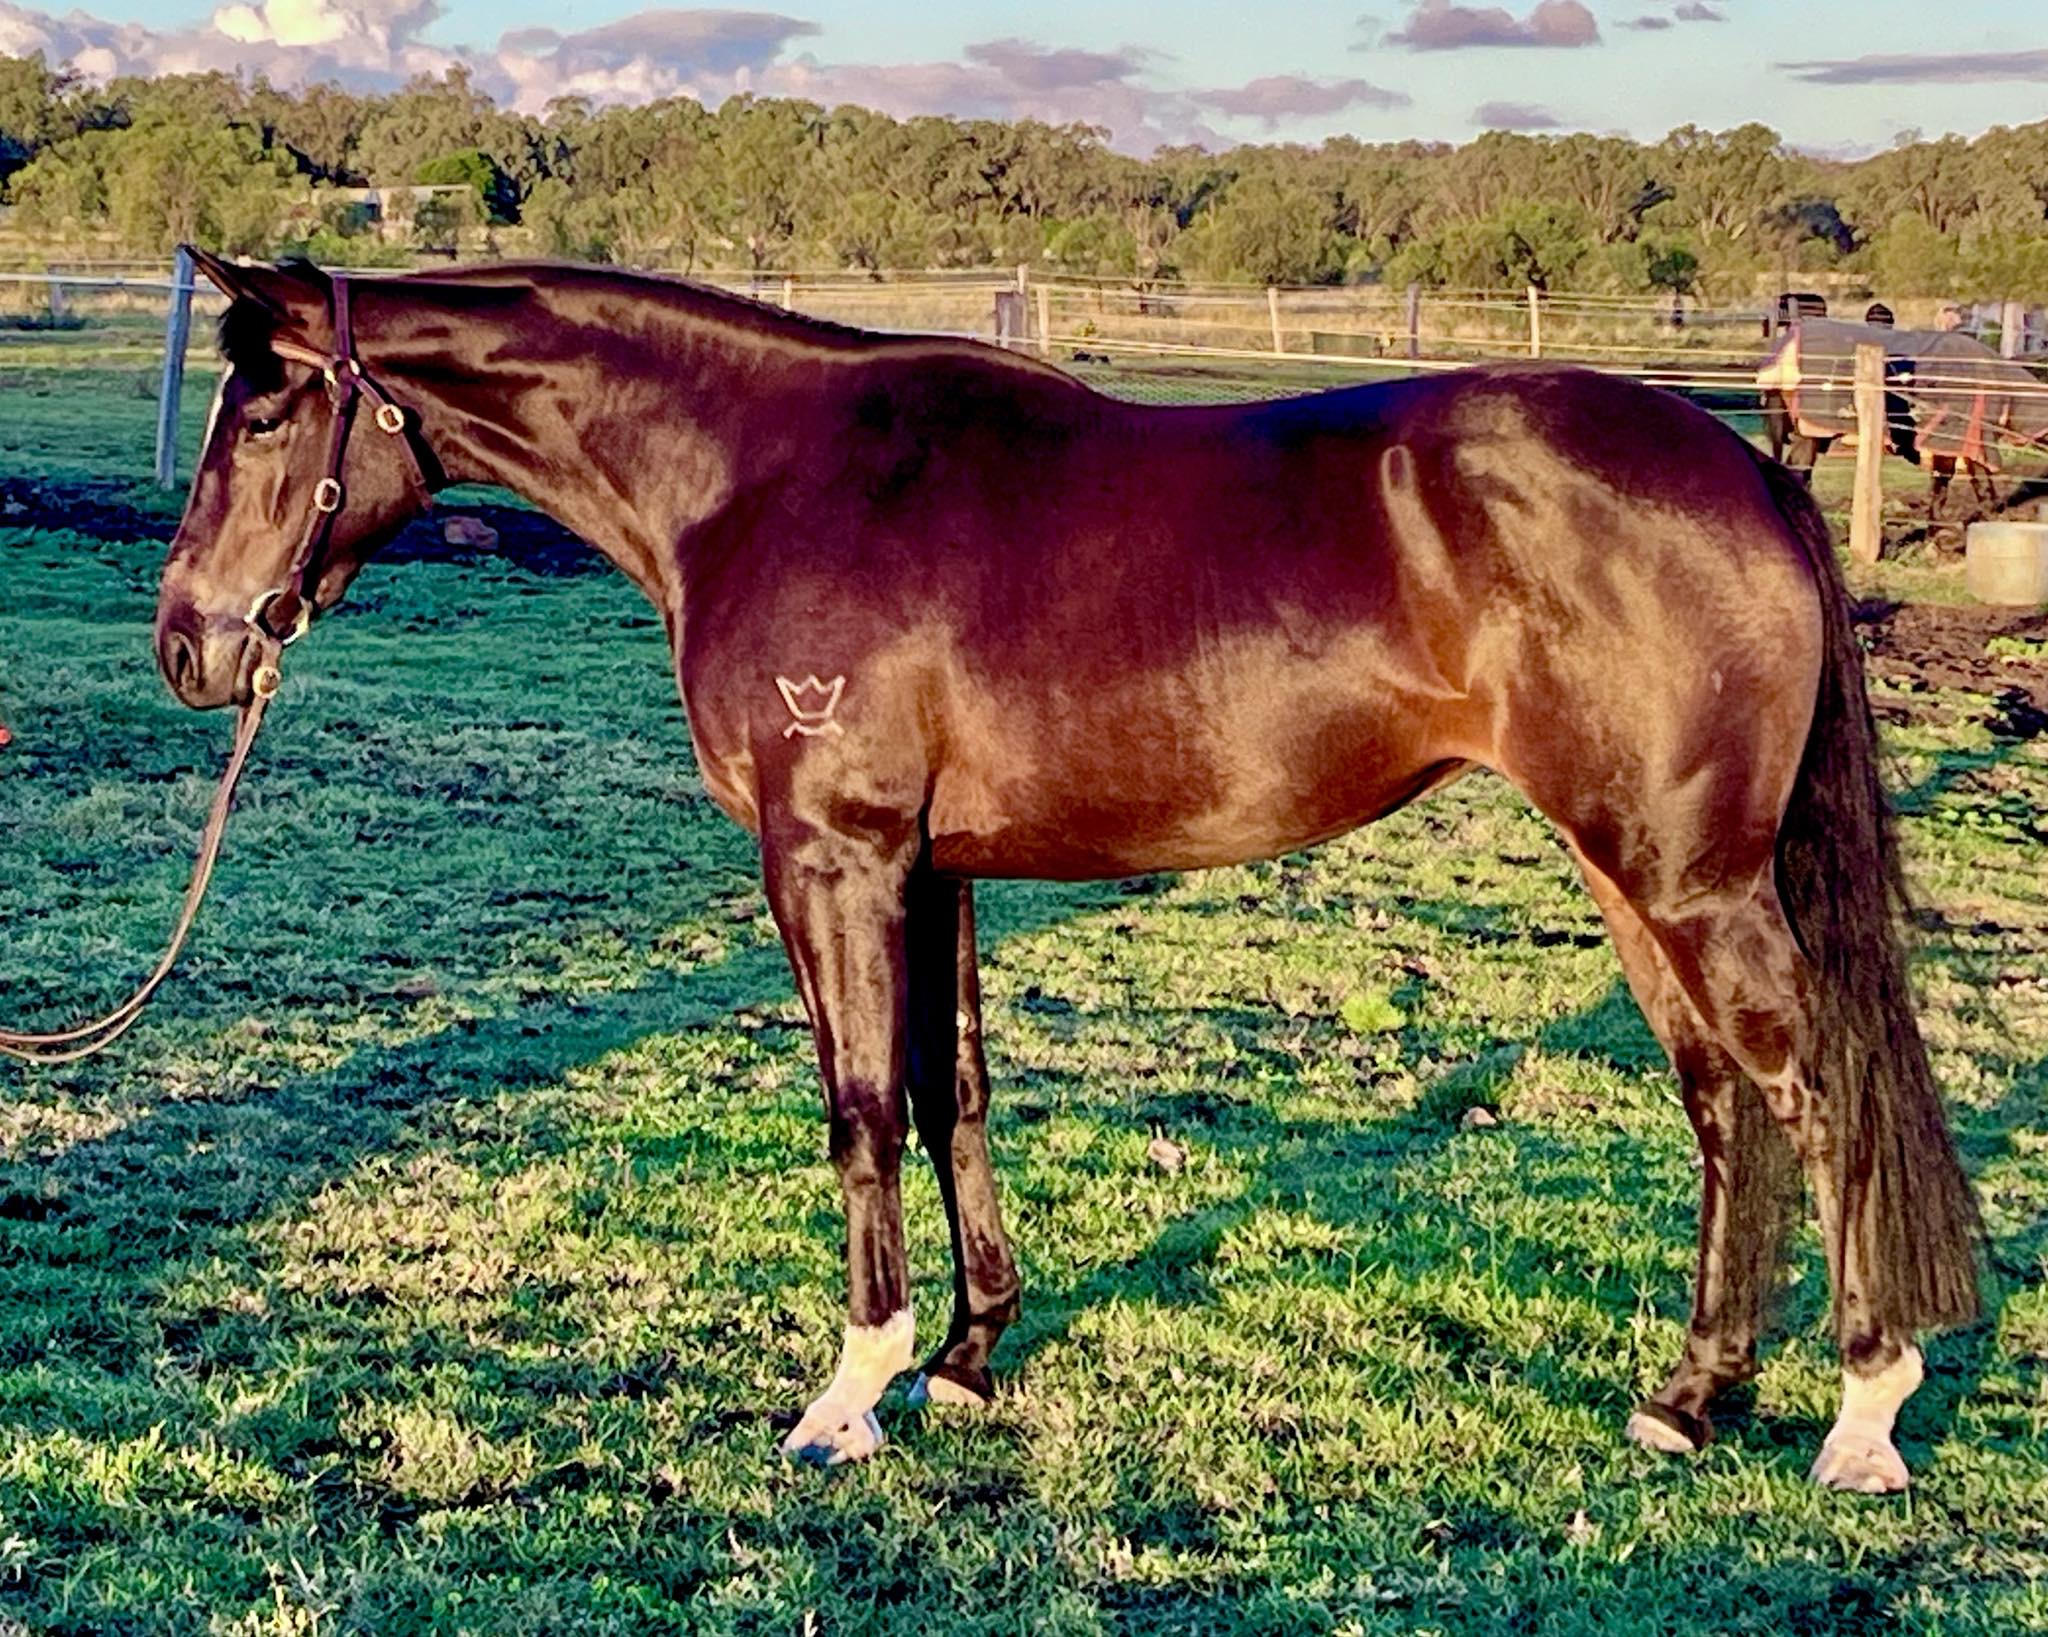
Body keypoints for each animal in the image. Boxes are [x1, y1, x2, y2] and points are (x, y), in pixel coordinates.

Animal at [152, 251, 1979, 1490]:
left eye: (267, 405)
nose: (186, 643)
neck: (757, 479)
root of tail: (1745, 467)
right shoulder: (934, 867)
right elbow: (948, 1090)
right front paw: (966, 1358)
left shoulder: (829, 858)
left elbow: (859, 1109)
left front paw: (848, 1394)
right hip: (1632, 871)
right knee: (1721, 1102)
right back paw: (1691, 1397)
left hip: (1680, 874)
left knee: (1809, 1086)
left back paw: (1863, 1411)